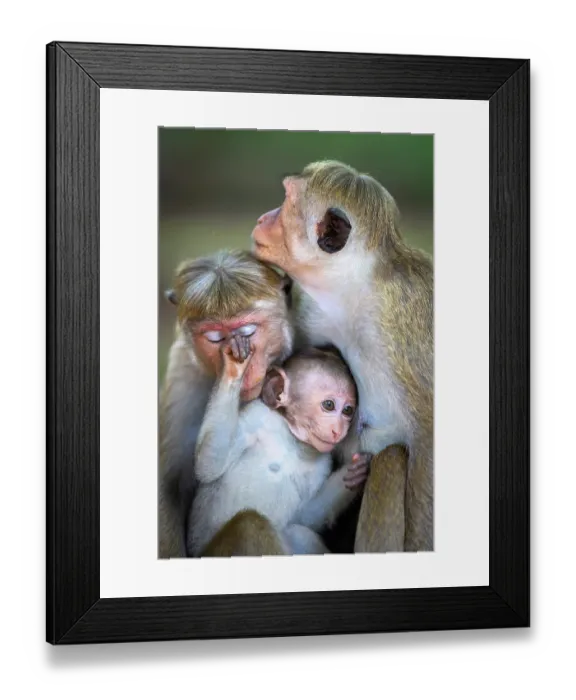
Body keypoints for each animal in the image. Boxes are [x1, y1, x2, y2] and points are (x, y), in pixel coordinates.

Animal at [158, 249, 296, 558]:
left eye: (248, 330)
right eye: (215, 337)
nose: (242, 362)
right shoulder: (183, 370)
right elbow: (171, 486)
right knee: (249, 525)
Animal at [186, 340, 372, 558]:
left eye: (348, 411)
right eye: (329, 405)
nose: (338, 430)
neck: (292, 440)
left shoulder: (323, 462)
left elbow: (305, 516)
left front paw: (356, 473)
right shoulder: (257, 416)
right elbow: (209, 465)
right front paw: (233, 368)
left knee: (299, 533)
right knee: (248, 523)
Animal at [251, 160, 434, 552]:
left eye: (286, 203)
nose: (262, 217)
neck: (357, 289)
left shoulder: (405, 316)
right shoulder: (313, 311)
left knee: (391, 460)